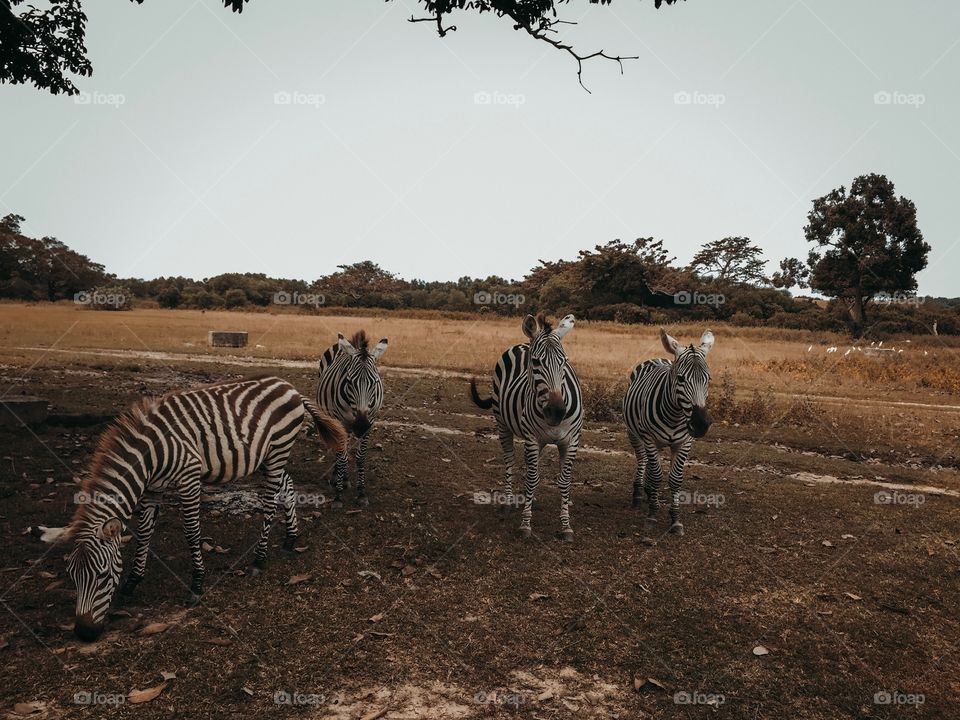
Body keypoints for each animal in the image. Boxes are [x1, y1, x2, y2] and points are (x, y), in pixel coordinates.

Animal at [61, 376, 344, 640]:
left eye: (103, 576)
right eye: (72, 576)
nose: (84, 633)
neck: (151, 455)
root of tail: (288, 386)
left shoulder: (189, 477)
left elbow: (191, 532)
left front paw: (197, 584)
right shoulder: (152, 489)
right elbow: (144, 534)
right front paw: (132, 582)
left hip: (278, 450)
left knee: (271, 501)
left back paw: (259, 559)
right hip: (265, 456)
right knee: (287, 485)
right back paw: (290, 538)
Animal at [316, 330, 388, 506]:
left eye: (375, 382)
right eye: (349, 382)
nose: (360, 426)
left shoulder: (371, 421)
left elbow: (361, 457)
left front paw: (361, 492)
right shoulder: (341, 421)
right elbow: (341, 456)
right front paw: (338, 495)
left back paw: (345, 479)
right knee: (338, 448)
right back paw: (337, 477)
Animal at [468, 312, 580, 544]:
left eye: (565, 362)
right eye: (536, 362)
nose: (557, 412)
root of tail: (522, 344)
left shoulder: (572, 441)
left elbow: (564, 481)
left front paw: (566, 526)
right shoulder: (531, 438)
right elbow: (532, 478)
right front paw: (525, 525)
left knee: (530, 465)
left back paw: (533, 499)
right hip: (503, 424)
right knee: (511, 460)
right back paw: (508, 502)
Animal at [624, 330, 712, 536]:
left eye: (709, 379)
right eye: (681, 379)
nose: (701, 424)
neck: (675, 415)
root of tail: (659, 358)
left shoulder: (684, 442)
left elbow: (675, 478)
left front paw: (675, 519)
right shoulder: (648, 438)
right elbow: (657, 475)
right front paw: (652, 515)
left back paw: (649, 492)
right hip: (635, 434)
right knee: (643, 459)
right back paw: (639, 493)